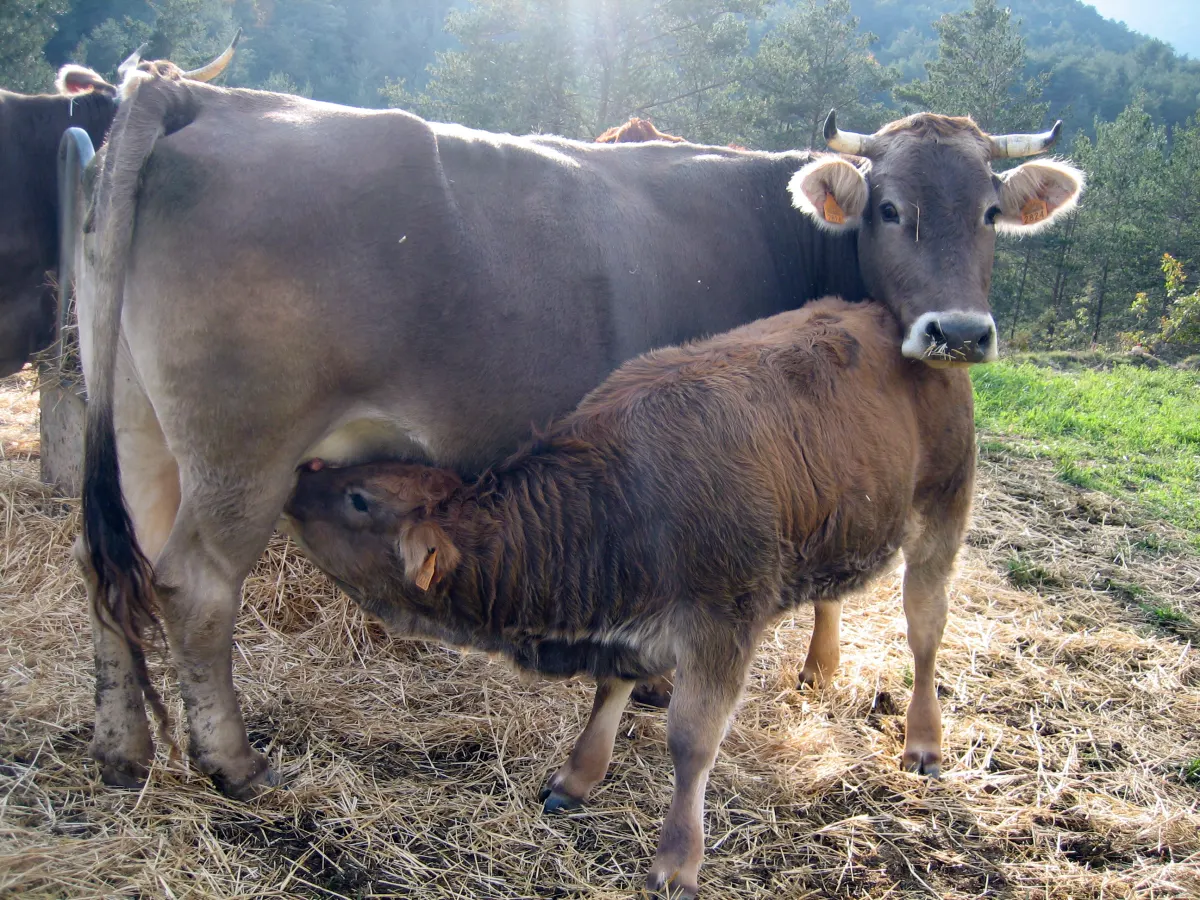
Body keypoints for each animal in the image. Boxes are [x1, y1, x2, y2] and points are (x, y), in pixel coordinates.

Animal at [74, 54, 1083, 800]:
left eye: (991, 211)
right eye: (887, 207)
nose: (958, 332)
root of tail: (198, 95)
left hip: (136, 427)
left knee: (113, 568)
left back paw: (122, 749)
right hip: (244, 450)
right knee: (196, 586)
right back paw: (233, 761)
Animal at [281, 297, 977, 898]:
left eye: (359, 499)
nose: (300, 475)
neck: (614, 504)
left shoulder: (722, 624)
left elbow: (691, 742)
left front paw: (676, 862)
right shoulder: (630, 622)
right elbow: (609, 690)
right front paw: (577, 778)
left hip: (942, 515)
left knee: (925, 631)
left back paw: (923, 741)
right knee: (832, 596)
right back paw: (819, 669)